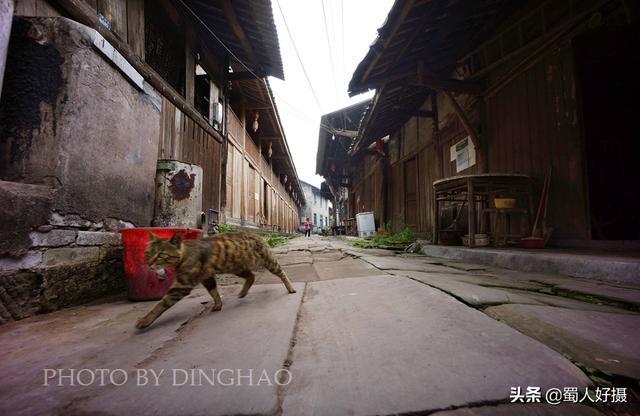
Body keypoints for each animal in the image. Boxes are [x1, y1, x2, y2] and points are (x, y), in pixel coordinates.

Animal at [136, 229, 296, 330]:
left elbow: (161, 304)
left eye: (161, 255)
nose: (149, 263)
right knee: (252, 276)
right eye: (147, 252)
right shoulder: (207, 277)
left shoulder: (183, 285)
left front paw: (145, 320)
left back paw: (291, 288)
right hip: (237, 268)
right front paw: (218, 305)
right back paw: (243, 292)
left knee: (281, 272)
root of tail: (258, 235)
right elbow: (214, 292)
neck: (184, 254)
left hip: (268, 262)